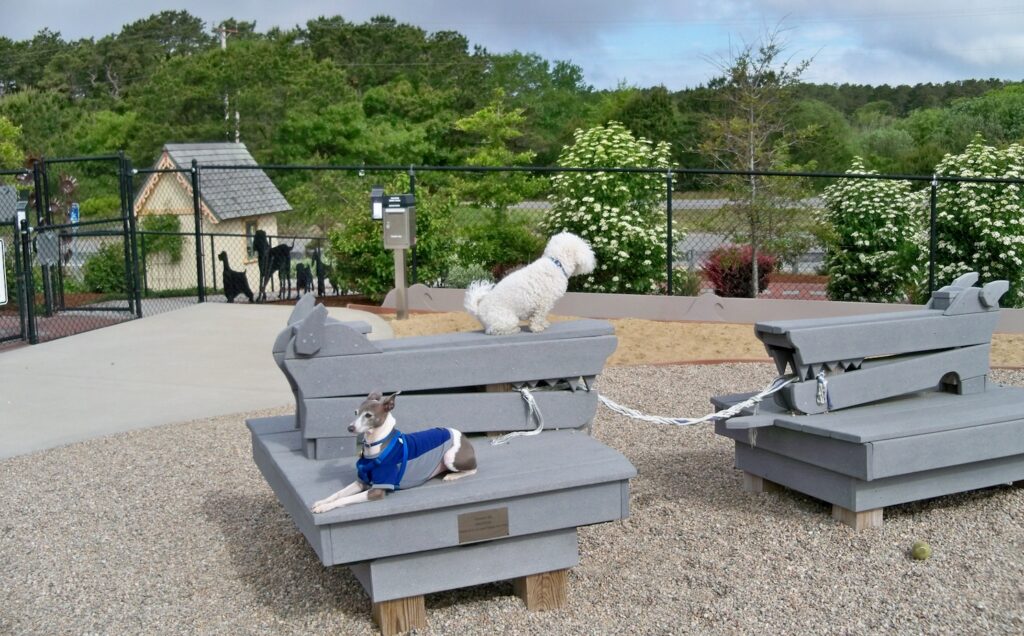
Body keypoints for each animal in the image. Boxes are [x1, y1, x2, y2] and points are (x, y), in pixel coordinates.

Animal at [462, 230, 598, 333]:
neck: (556, 263)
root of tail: (478, 310)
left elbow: (542, 317)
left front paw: (544, 324)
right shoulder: (544, 302)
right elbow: (538, 317)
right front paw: (537, 328)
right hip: (507, 319)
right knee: (494, 330)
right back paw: (514, 330)